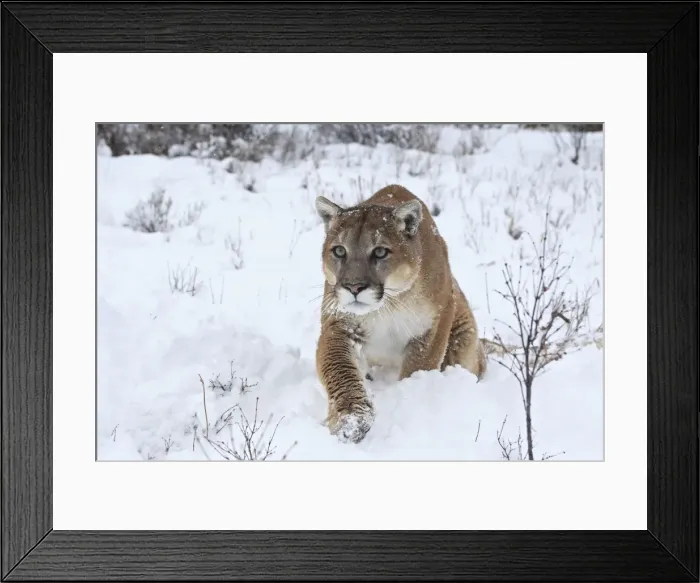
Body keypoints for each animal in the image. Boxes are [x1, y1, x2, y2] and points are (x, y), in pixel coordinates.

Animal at [314, 184, 486, 443]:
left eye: (380, 252)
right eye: (340, 251)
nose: (354, 287)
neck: (387, 306)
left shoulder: (435, 323)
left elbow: (419, 366)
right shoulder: (339, 324)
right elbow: (339, 369)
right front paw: (351, 420)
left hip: (464, 339)